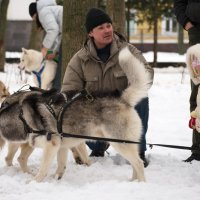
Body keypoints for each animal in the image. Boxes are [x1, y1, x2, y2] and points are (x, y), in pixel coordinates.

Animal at [0, 46, 149, 181]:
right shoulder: (61, 146)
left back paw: (140, 183)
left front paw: (33, 182)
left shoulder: (51, 145)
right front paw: (56, 179)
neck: (22, 117)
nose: (19, 66)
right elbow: (61, 165)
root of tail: (122, 98)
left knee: (139, 163)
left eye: (22, 59)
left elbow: (43, 169)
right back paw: (133, 181)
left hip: (120, 142)